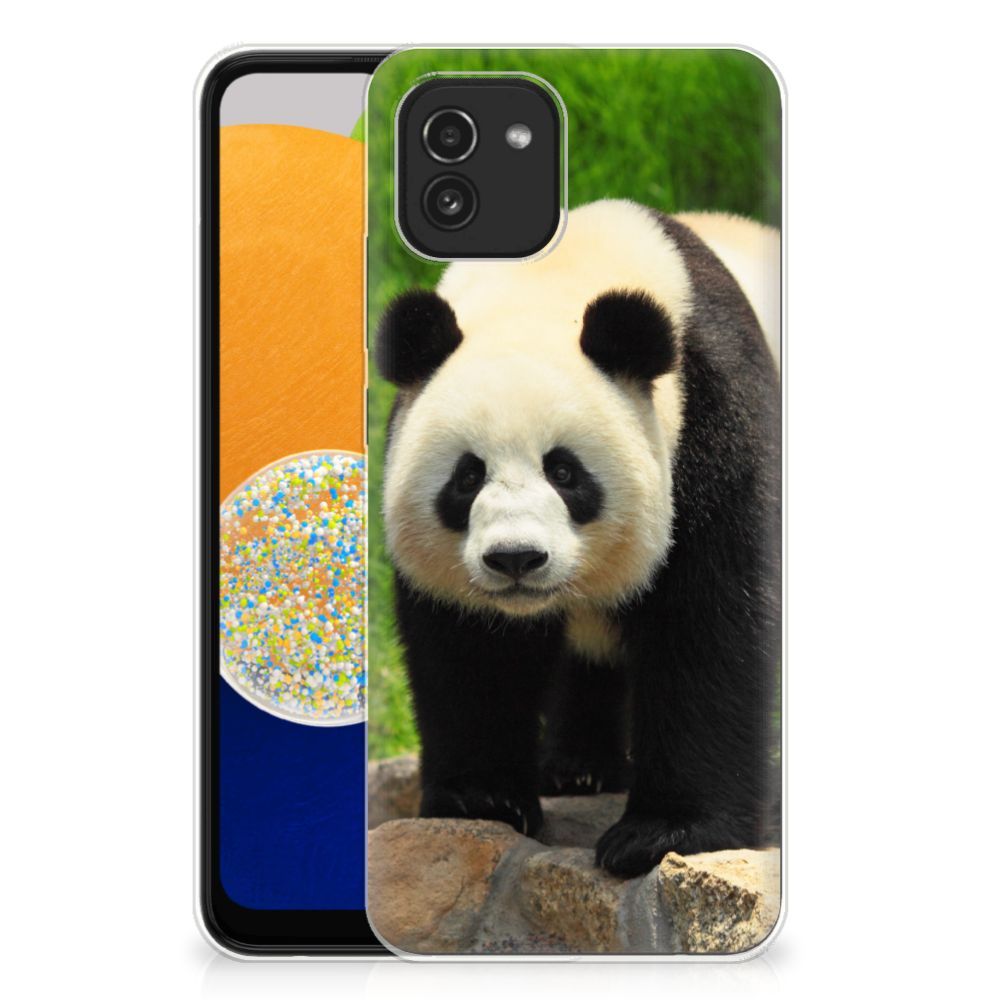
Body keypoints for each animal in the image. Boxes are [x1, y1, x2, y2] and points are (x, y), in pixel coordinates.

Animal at [375, 199, 781, 878]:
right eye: (467, 476)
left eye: (564, 472)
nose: (516, 558)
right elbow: (469, 649)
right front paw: (482, 799)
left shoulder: (714, 419)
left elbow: (710, 624)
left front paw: (662, 833)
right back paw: (578, 769)